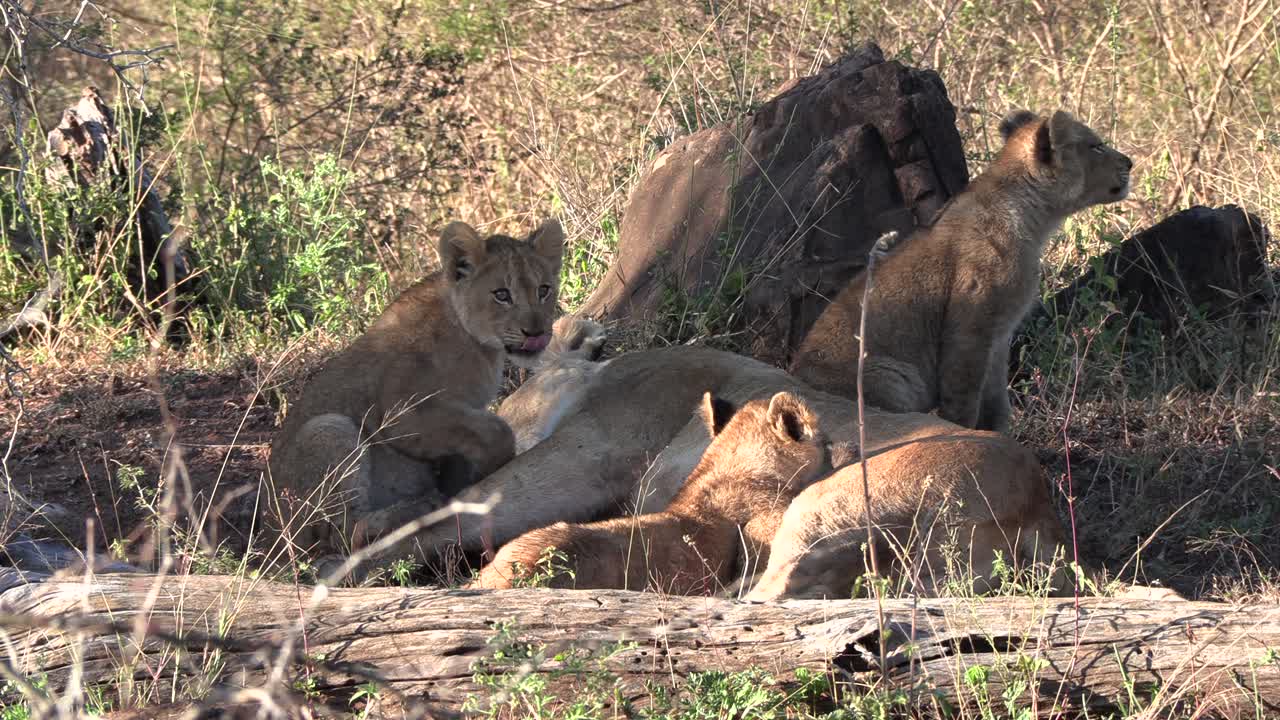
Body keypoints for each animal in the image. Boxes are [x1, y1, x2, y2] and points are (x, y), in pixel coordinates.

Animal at [264, 218, 565, 559]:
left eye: (544, 290)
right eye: (501, 294)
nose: (536, 332)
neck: (479, 344)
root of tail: (270, 535)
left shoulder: (463, 416)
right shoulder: (401, 415)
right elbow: (497, 430)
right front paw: (486, 471)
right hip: (328, 427)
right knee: (346, 535)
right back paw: (418, 508)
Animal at [790, 110, 1133, 432]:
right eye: (1096, 146)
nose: (1129, 163)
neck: (1034, 219)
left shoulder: (1000, 336)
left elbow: (997, 400)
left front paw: (1000, 433)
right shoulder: (969, 328)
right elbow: (963, 398)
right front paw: (969, 431)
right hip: (891, 379)